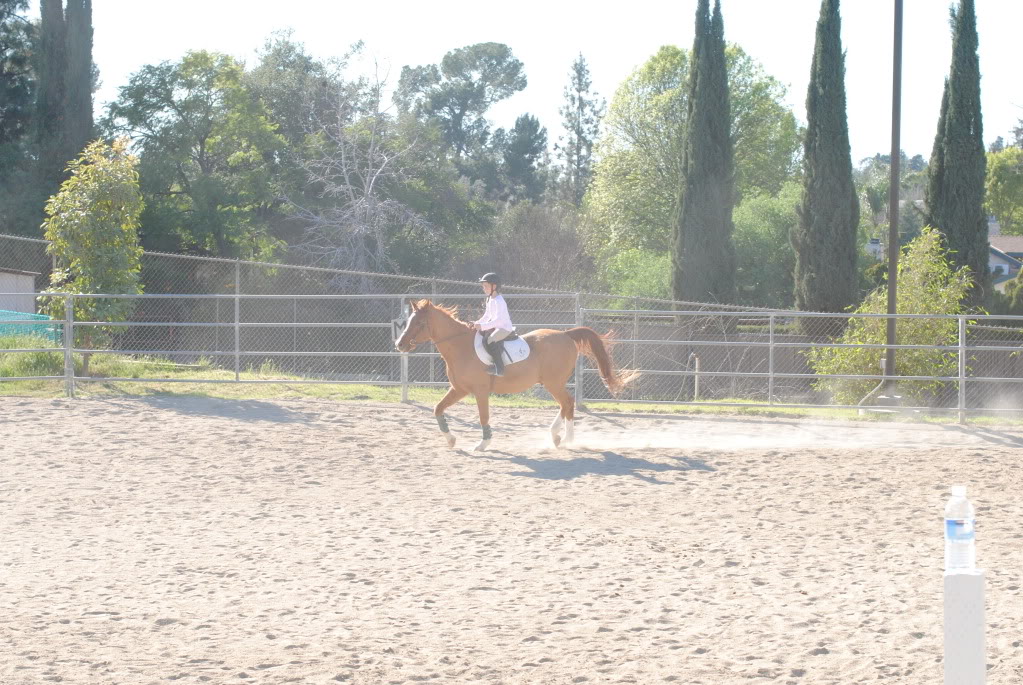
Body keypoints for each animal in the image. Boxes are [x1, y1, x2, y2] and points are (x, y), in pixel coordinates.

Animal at [394, 299, 636, 451]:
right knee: (565, 404)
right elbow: (438, 409)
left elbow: (483, 417)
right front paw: (452, 440)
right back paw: (556, 437)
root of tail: (566, 335)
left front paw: (482, 444)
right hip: (553, 383)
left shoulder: (480, 391)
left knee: (567, 403)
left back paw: (567, 439)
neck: (460, 347)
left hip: (554, 383)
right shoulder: (459, 389)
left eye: (419, 323)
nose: (399, 344)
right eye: (408, 321)